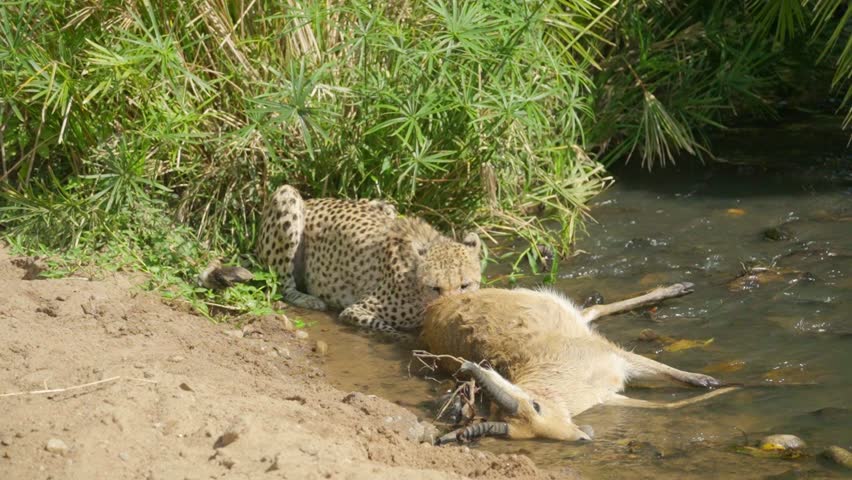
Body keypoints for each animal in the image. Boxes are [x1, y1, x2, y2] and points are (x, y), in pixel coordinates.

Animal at [256, 185, 482, 333]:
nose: (449, 312)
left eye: (464, 285)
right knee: (283, 285)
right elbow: (391, 330)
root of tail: (314, 200)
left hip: (387, 206)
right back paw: (309, 299)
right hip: (288, 196)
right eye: (434, 288)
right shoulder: (357, 309)